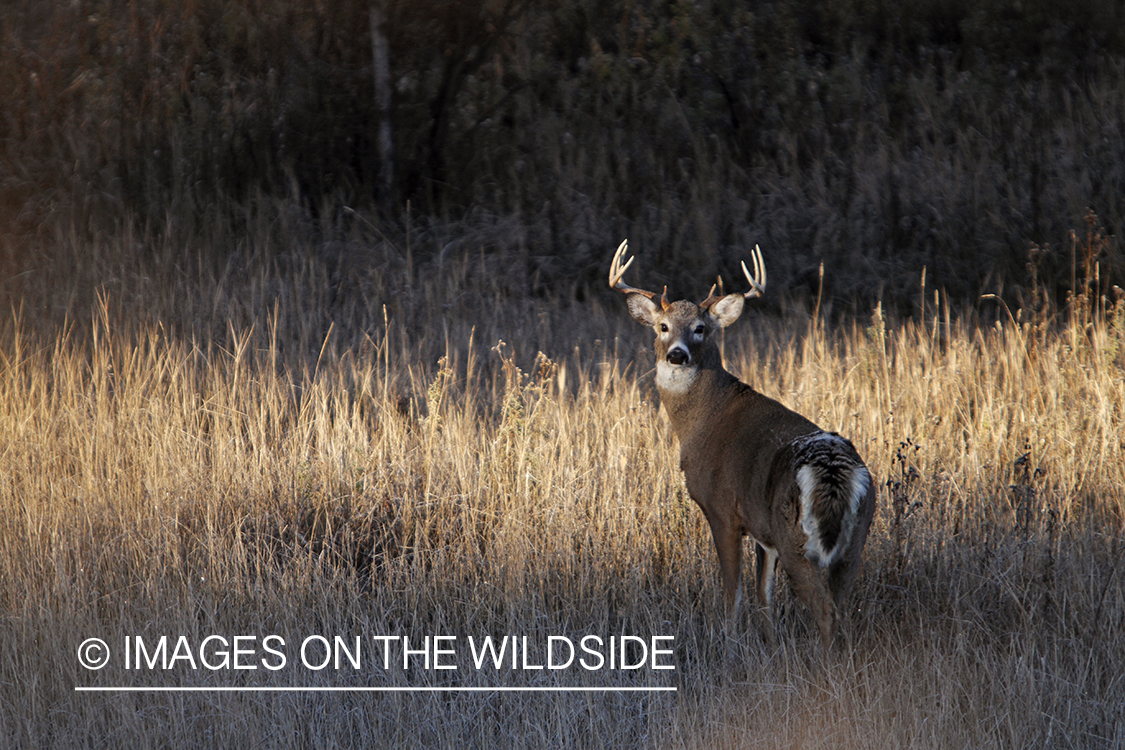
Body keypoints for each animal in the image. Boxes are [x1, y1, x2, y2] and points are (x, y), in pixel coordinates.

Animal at [607, 240, 877, 647]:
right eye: (663, 326)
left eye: (700, 328)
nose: (676, 354)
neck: (705, 419)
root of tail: (834, 468)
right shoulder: (762, 530)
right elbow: (763, 596)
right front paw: (768, 642)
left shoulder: (722, 510)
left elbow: (731, 593)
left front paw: (728, 639)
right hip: (855, 538)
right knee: (842, 606)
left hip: (796, 537)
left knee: (825, 610)